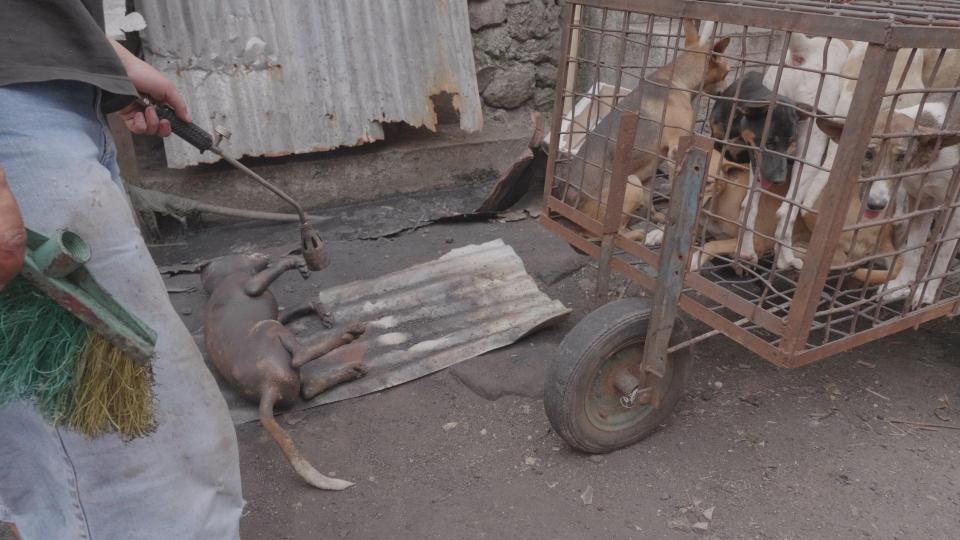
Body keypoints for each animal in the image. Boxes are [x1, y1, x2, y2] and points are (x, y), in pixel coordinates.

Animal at [202, 253, 368, 490]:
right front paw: (293, 262)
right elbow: (259, 283)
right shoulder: (250, 285)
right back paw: (348, 334)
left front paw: (320, 309)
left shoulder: (278, 313)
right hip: (270, 329)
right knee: (300, 355)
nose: (263, 255)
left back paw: (351, 371)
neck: (220, 281)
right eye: (243, 254)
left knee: (307, 389)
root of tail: (268, 388)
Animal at [560, 18, 732, 243]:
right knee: (613, 232)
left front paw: (659, 218)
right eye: (728, 71)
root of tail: (575, 217)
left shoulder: (652, 172)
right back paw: (637, 233)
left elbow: (650, 202)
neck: (678, 78)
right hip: (631, 184)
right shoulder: (676, 150)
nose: (729, 93)